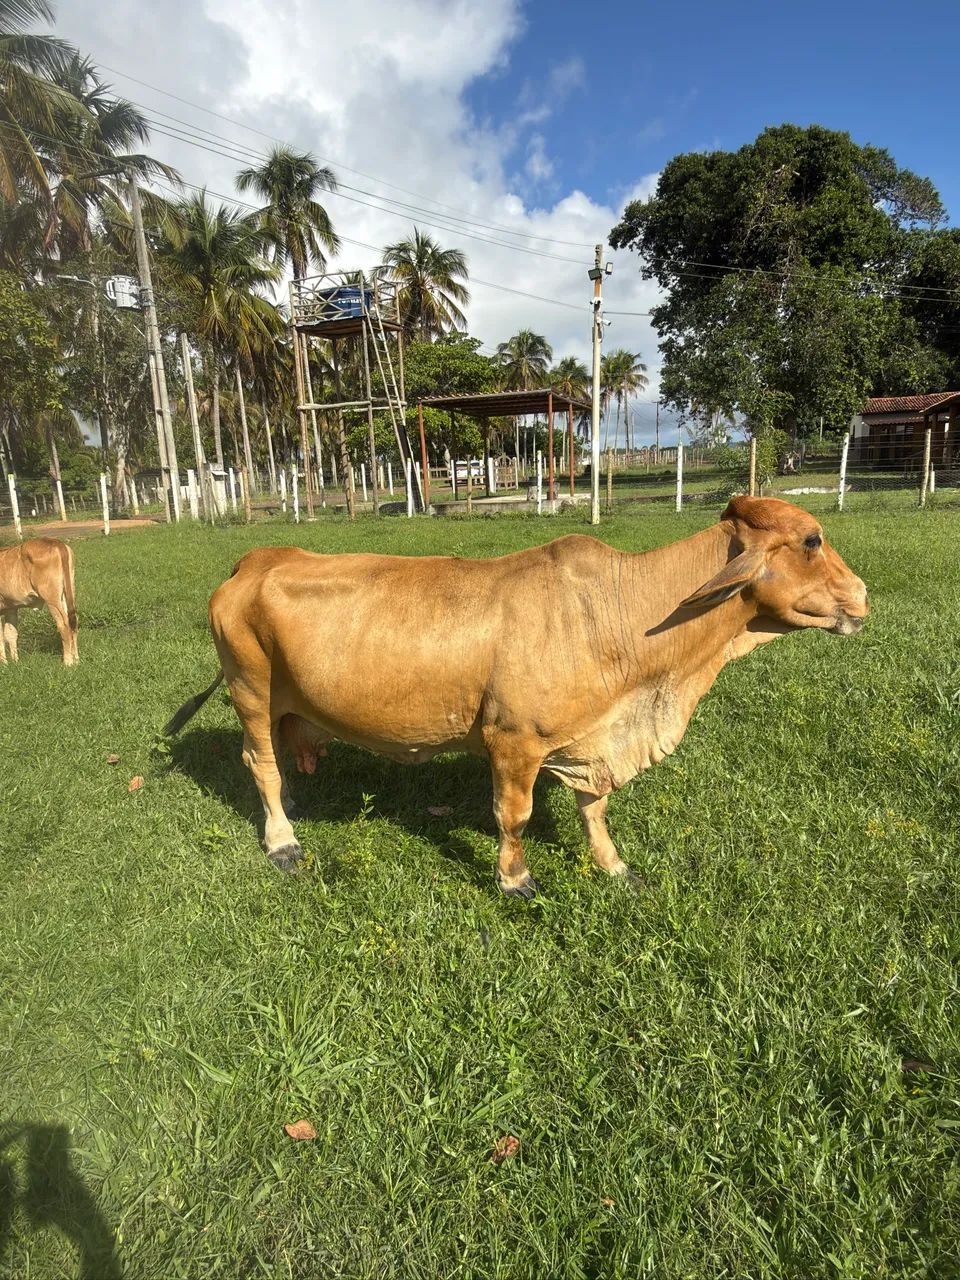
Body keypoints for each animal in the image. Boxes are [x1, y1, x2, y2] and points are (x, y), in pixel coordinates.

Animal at [0, 537, 78, 666]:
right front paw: (15, 662)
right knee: (73, 620)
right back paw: (76, 659)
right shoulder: (11, 608)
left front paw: (4, 663)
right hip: (67, 592)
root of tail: (55, 542)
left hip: (52, 597)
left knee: (63, 624)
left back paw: (68, 662)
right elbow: (11, 633)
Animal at [164, 496, 867, 894]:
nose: (862, 595)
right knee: (258, 760)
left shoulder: (590, 740)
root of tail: (254, 558)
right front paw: (516, 877)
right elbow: (514, 816)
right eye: (812, 540)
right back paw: (282, 841)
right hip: (249, 689)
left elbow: (594, 809)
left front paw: (613, 867)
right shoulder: (513, 742)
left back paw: (291, 808)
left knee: (280, 757)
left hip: (283, 699)